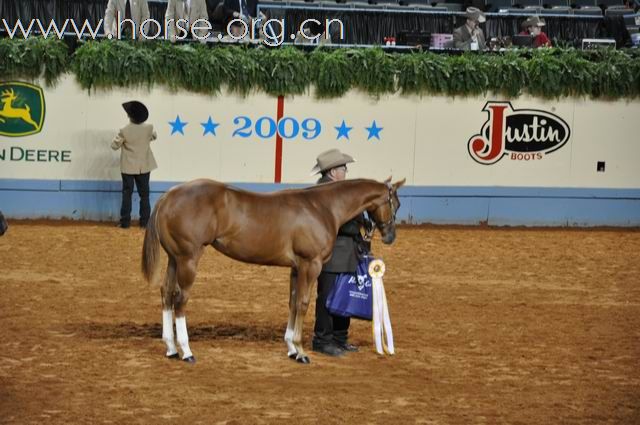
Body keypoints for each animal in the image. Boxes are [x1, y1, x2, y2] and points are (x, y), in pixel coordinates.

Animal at [144, 176, 404, 362]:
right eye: (395, 204)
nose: (391, 236)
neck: (322, 207)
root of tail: (169, 195)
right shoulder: (310, 265)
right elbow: (303, 303)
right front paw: (301, 351)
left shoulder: (296, 268)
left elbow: (293, 302)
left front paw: (291, 348)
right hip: (188, 260)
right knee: (180, 299)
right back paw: (186, 351)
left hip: (174, 259)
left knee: (166, 294)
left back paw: (171, 348)